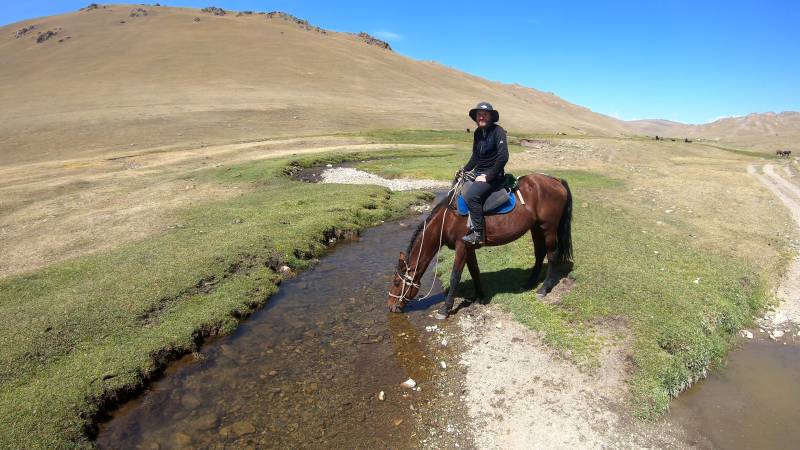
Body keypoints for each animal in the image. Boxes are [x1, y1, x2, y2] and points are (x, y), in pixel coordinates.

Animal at [390, 173, 572, 320]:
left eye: (397, 283)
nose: (391, 306)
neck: (448, 219)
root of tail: (555, 180)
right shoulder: (469, 248)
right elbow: (475, 271)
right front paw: (480, 296)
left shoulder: (461, 247)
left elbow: (455, 277)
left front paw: (445, 309)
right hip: (536, 228)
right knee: (539, 253)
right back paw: (529, 283)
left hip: (548, 228)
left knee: (552, 255)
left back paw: (544, 288)